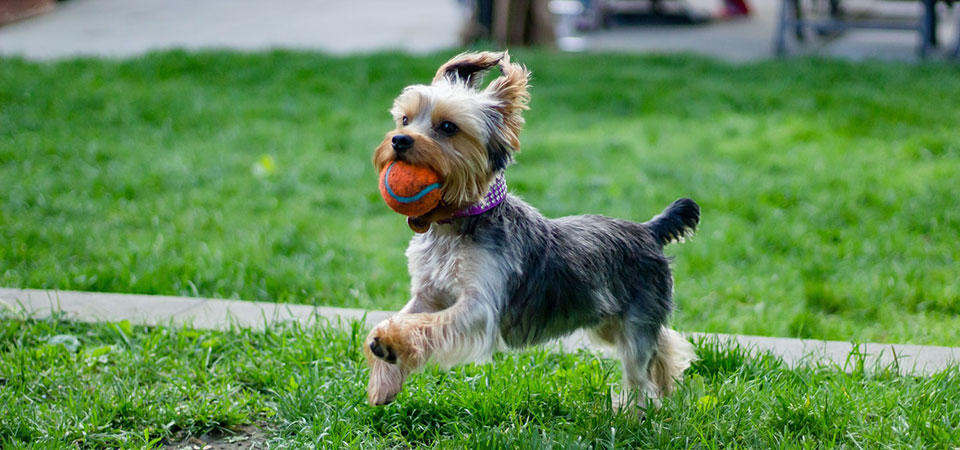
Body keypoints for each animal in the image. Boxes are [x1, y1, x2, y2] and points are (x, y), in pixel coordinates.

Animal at [366, 51, 696, 410]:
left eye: (448, 127)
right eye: (404, 119)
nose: (399, 140)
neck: (456, 222)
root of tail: (649, 230)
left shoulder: (480, 305)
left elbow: (430, 324)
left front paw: (391, 343)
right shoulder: (430, 292)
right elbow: (407, 316)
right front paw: (383, 375)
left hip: (636, 316)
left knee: (638, 372)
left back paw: (634, 413)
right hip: (607, 319)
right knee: (663, 344)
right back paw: (668, 382)